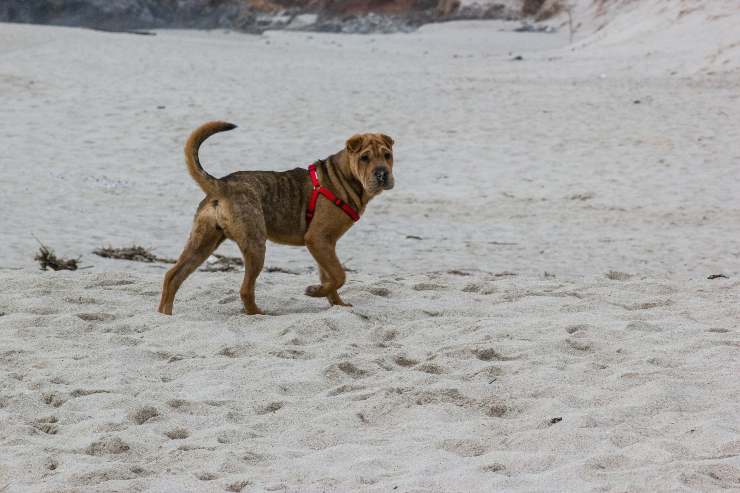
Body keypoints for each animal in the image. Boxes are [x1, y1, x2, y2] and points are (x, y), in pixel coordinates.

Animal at [159, 123, 396, 316]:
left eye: (387, 155)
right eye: (364, 158)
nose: (382, 174)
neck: (344, 177)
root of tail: (222, 185)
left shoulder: (325, 244)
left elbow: (330, 277)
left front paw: (335, 303)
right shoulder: (318, 239)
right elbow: (339, 275)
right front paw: (315, 292)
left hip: (203, 243)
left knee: (172, 276)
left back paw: (165, 315)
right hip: (255, 245)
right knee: (245, 290)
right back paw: (258, 314)